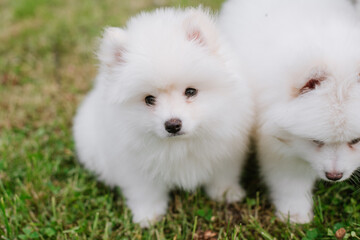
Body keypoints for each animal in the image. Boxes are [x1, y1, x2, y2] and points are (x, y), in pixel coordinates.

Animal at [73, 7, 253, 228]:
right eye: (149, 99)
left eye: (190, 91)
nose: (173, 125)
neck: (179, 145)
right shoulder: (134, 165)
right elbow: (145, 191)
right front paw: (148, 216)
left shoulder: (226, 150)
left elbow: (223, 174)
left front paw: (226, 193)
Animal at [219, 0, 360, 223]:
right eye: (316, 141)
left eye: (355, 141)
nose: (334, 175)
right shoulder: (281, 146)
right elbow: (290, 182)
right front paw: (295, 214)